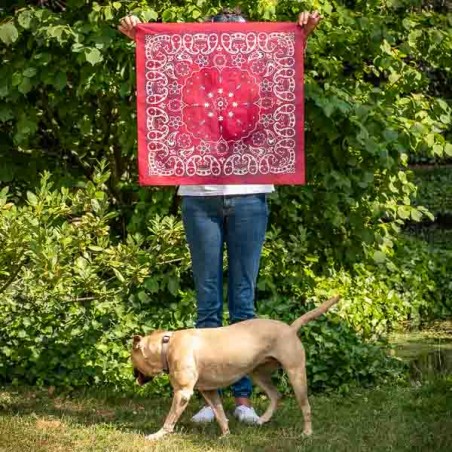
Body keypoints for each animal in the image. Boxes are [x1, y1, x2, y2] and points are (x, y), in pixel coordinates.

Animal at [132, 294, 340, 440]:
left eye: (132, 359)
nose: (134, 375)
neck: (167, 345)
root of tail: (290, 328)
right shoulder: (209, 391)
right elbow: (220, 414)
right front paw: (225, 435)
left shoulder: (183, 393)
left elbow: (170, 419)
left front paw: (157, 435)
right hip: (258, 373)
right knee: (275, 395)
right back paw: (262, 419)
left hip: (296, 375)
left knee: (305, 407)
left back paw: (307, 432)